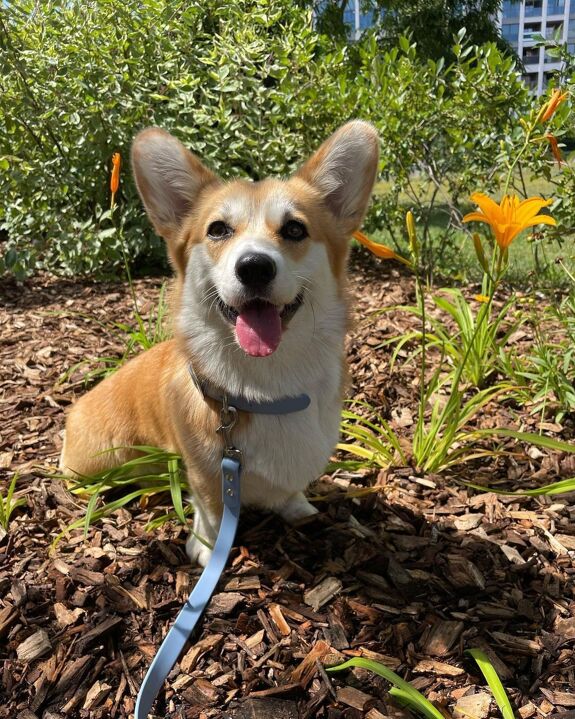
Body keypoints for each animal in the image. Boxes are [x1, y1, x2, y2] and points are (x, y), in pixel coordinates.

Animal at [60, 121, 380, 564]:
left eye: (295, 229)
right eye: (218, 230)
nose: (254, 267)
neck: (268, 387)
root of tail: (71, 414)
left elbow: (291, 490)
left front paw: (298, 507)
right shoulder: (207, 469)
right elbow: (212, 506)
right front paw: (208, 547)